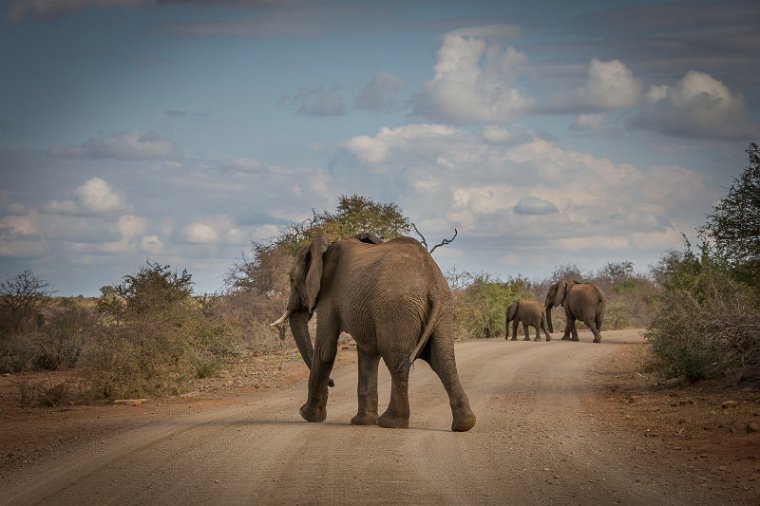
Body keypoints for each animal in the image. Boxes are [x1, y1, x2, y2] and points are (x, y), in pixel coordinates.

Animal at [272, 233, 476, 430]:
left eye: (291, 279)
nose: (333, 382)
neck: (326, 246)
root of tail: (431, 280)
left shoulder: (329, 296)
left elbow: (325, 350)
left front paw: (307, 415)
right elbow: (367, 352)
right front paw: (362, 421)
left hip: (397, 311)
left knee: (397, 361)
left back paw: (391, 423)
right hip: (443, 312)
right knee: (443, 360)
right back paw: (464, 424)